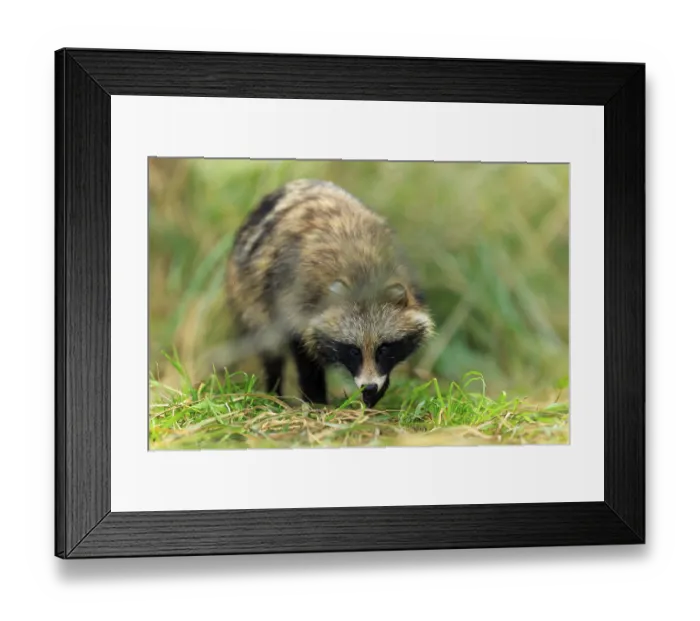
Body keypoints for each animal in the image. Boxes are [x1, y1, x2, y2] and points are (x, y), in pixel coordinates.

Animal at [226, 179, 434, 408]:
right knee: (270, 351)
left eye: (384, 348)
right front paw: (316, 400)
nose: (369, 388)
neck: (363, 275)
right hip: (249, 298)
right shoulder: (292, 297)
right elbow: (303, 353)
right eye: (353, 350)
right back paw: (275, 392)